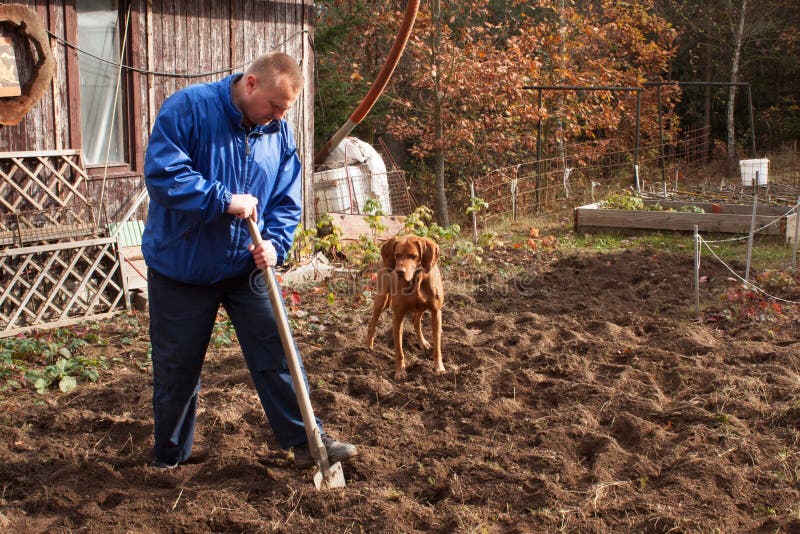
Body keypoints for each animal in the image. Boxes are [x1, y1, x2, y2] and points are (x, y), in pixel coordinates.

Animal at [368, 236, 444, 382]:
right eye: (397, 255)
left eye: (413, 256)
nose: (399, 272)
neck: (416, 279)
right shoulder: (398, 316)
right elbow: (399, 350)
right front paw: (400, 371)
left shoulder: (436, 313)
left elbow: (437, 345)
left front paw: (439, 367)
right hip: (381, 300)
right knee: (372, 324)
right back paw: (368, 347)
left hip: (420, 308)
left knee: (416, 321)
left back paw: (423, 343)